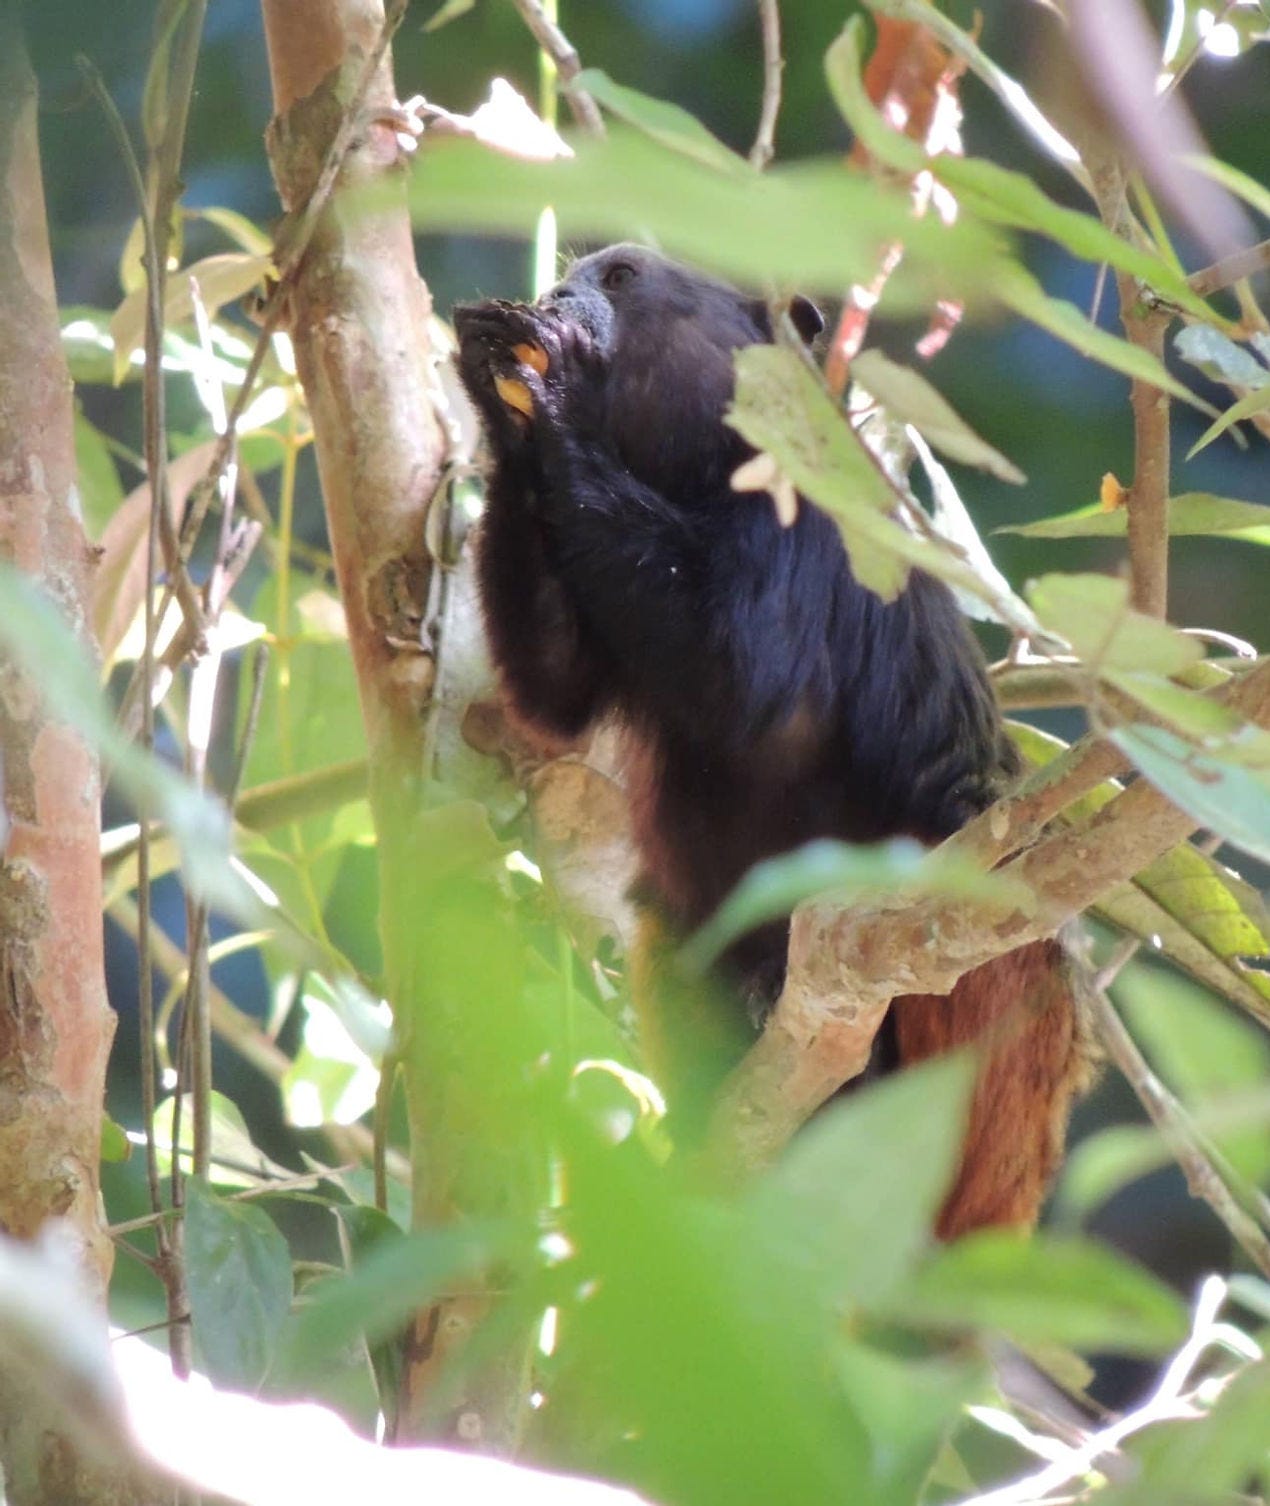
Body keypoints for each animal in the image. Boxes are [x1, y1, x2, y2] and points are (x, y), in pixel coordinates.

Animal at [454, 244, 1087, 1238]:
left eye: (622, 277)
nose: (558, 294)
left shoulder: (809, 498)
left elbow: (746, 678)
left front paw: (560, 393)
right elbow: (555, 692)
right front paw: (501, 402)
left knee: (972, 876)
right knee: (673, 928)